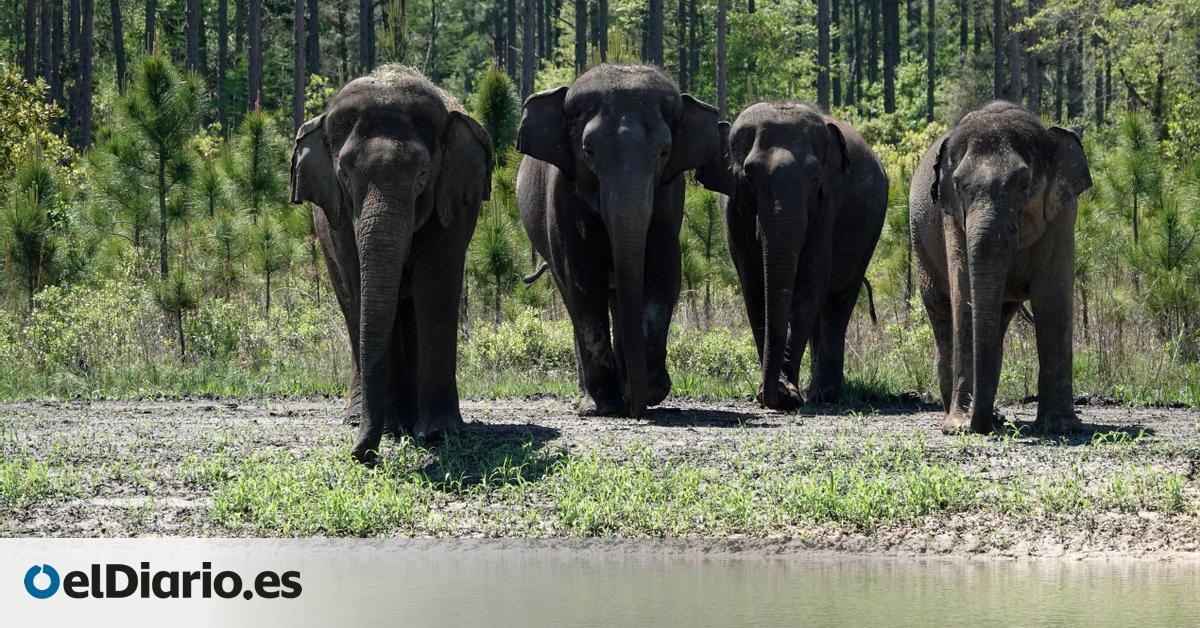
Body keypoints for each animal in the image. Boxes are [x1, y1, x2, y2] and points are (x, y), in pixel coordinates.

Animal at [290, 66, 492, 462]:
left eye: (423, 175)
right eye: (345, 175)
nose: (361, 455)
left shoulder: (452, 203)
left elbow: (436, 288)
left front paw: (438, 433)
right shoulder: (338, 218)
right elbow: (362, 286)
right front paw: (394, 428)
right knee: (352, 307)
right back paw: (362, 417)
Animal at [516, 64, 722, 418]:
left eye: (664, 152)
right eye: (588, 151)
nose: (636, 411)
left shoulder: (670, 197)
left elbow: (663, 275)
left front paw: (651, 391)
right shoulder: (562, 195)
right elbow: (583, 281)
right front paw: (606, 405)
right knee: (573, 297)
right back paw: (588, 401)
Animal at [695, 102, 888, 409]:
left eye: (814, 178)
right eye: (749, 175)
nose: (769, 398)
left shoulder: (828, 205)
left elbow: (809, 284)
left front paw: (785, 395)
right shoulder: (731, 211)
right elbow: (754, 288)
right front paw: (770, 392)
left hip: (867, 236)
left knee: (838, 302)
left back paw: (825, 394)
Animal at [909, 101, 1092, 435]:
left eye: (1024, 184)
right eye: (958, 185)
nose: (979, 426)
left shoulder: (1062, 215)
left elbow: (1053, 298)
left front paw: (1062, 427)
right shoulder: (951, 216)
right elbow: (963, 295)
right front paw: (958, 427)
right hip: (920, 246)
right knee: (941, 313)